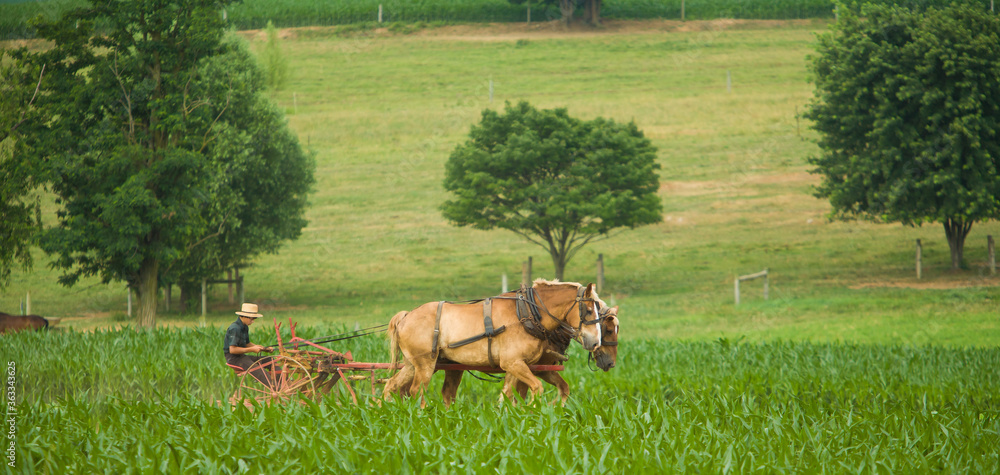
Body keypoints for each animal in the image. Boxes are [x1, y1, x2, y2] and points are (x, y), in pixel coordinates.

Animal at [382, 280, 600, 408]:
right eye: (589, 310)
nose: (596, 342)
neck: (525, 314)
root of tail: (406, 316)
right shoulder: (513, 363)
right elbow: (536, 388)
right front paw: (533, 411)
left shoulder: (516, 365)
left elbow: (508, 394)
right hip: (425, 364)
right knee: (417, 391)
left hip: (412, 365)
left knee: (391, 385)